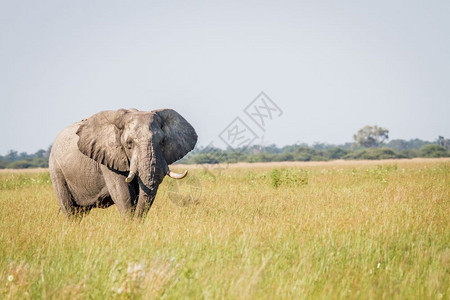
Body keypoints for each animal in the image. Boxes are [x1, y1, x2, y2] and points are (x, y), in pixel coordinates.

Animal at [48, 108, 197, 218]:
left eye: (162, 142)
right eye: (129, 144)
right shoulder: (108, 157)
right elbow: (123, 193)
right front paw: (130, 224)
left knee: (80, 212)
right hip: (56, 169)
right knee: (69, 209)